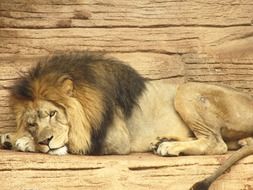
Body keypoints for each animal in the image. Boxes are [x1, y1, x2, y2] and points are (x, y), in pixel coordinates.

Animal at [0, 52, 253, 190]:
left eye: (53, 114)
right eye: (32, 123)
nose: (46, 141)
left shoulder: (114, 138)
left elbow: (73, 141)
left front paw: (23, 142)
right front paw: (12, 137)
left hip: (186, 89)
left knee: (216, 143)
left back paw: (169, 147)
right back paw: (162, 140)